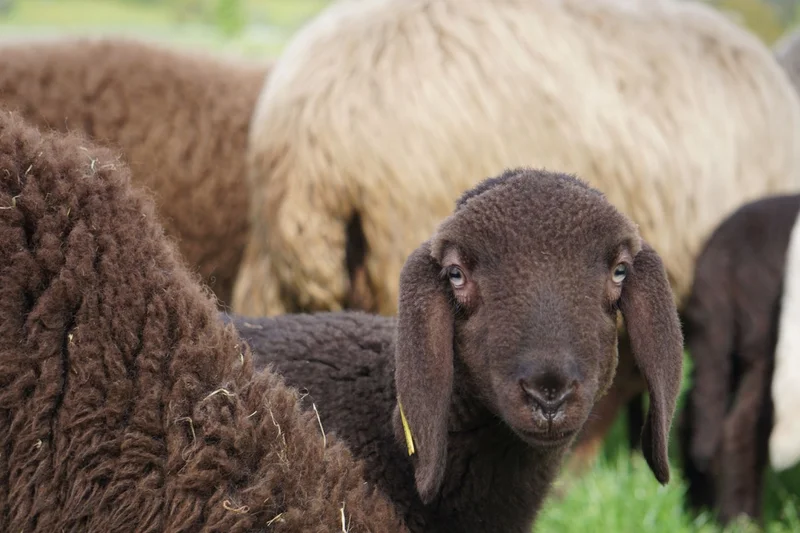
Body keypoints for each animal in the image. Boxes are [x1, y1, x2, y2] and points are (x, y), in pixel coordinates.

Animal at [677, 193, 800, 525]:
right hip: (763, 345)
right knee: (742, 428)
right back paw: (744, 520)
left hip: (716, 340)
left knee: (696, 414)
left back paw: (699, 507)